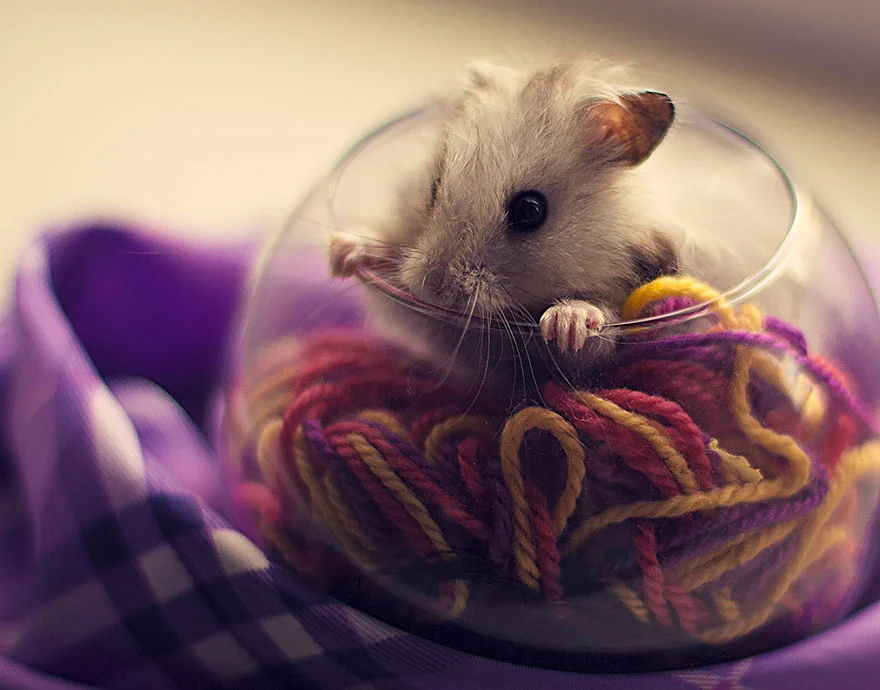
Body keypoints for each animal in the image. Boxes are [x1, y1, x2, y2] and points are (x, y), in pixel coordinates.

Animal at [328, 58, 689, 387]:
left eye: (530, 210)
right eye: (433, 187)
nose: (435, 292)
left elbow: (596, 335)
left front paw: (565, 322)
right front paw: (343, 253)